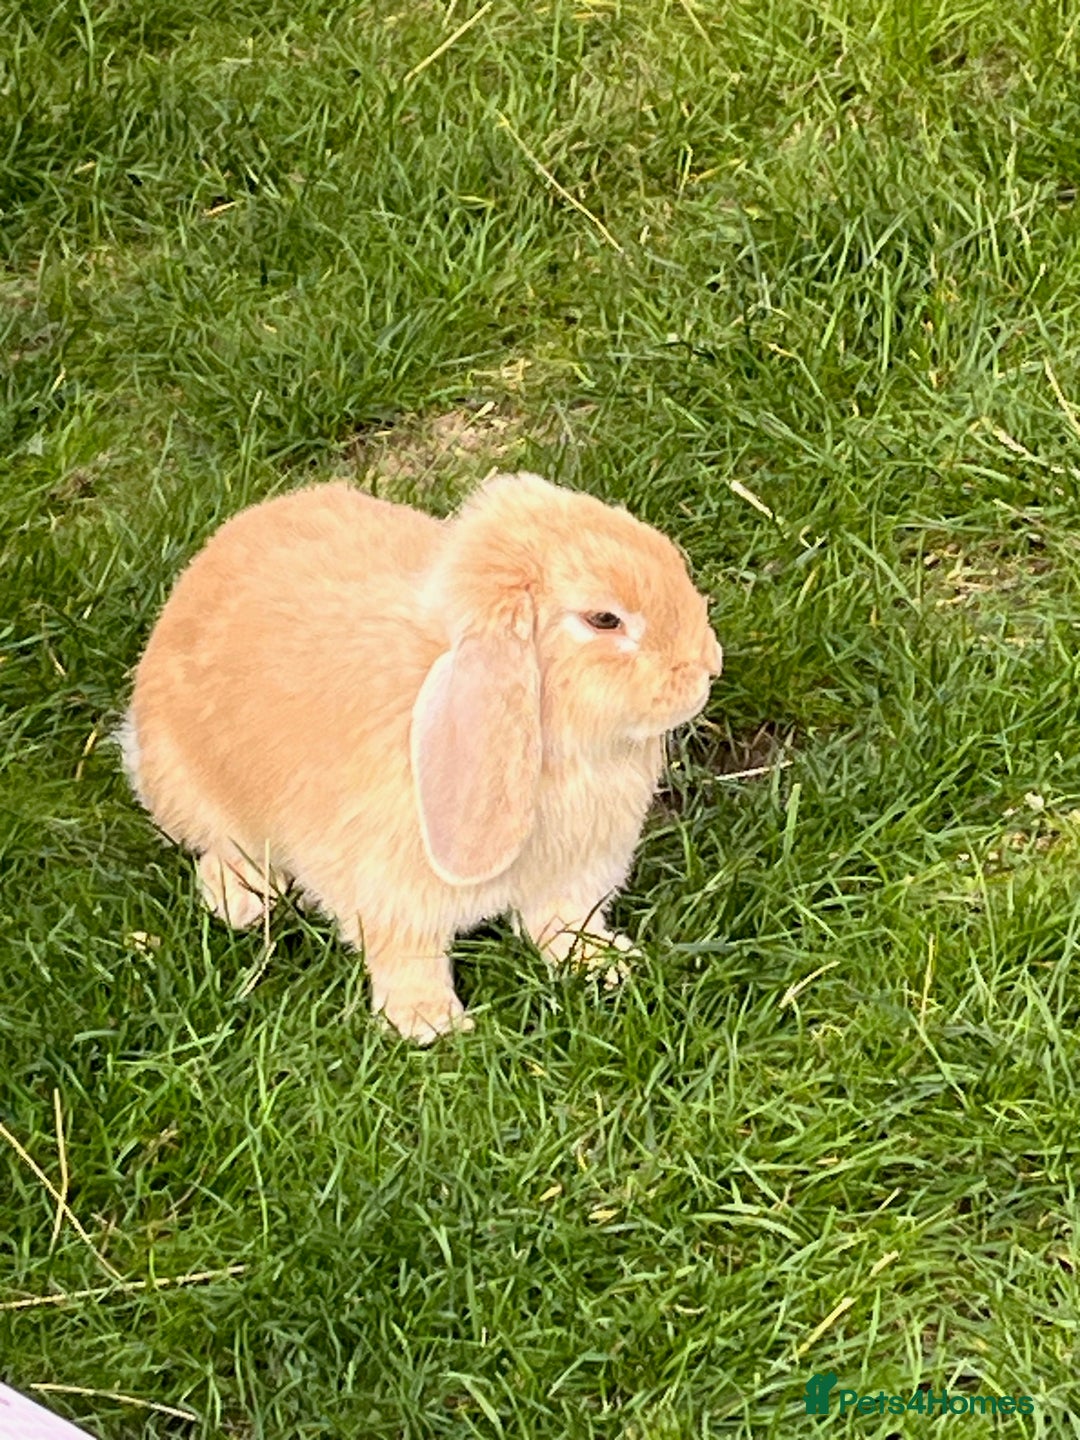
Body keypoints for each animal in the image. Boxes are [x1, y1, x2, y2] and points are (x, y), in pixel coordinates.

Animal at [122, 472, 723, 1042]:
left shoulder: (571, 878)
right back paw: (240, 901)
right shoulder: (392, 896)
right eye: (604, 619)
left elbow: (561, 922)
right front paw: (428, 1024)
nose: (709, 664)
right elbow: (408, 959)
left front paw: (608, 962)